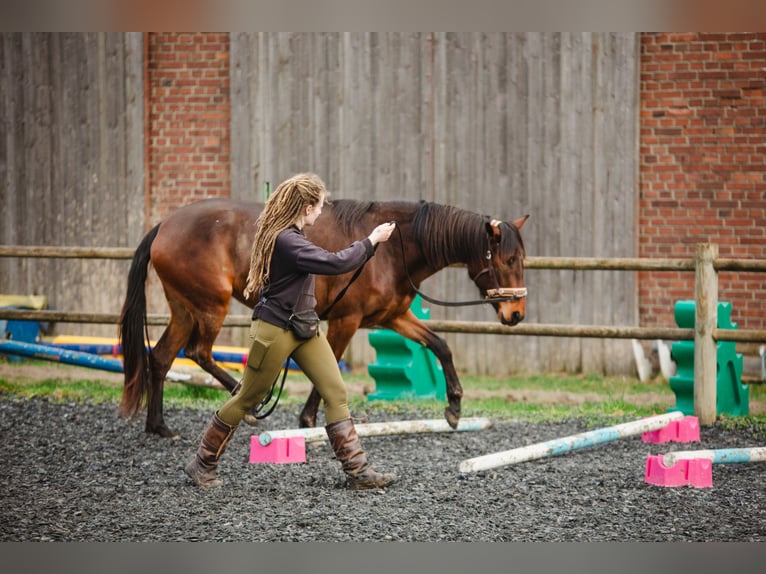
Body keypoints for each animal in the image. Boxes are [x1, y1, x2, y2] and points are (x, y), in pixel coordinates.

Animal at [120, 199, 528, 440]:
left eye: (521, 259)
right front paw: (307, 420)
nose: (516, 314)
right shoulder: (346, 321)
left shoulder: (394, 317)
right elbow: (328, 369)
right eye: (507, 259)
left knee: (161, 358)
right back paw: (248, 406)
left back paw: (159, 427)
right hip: (209, 307)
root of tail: (165, 226)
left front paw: (454, 409)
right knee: (199, 352)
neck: (391, 251)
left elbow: (440, 345)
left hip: (184, 309)